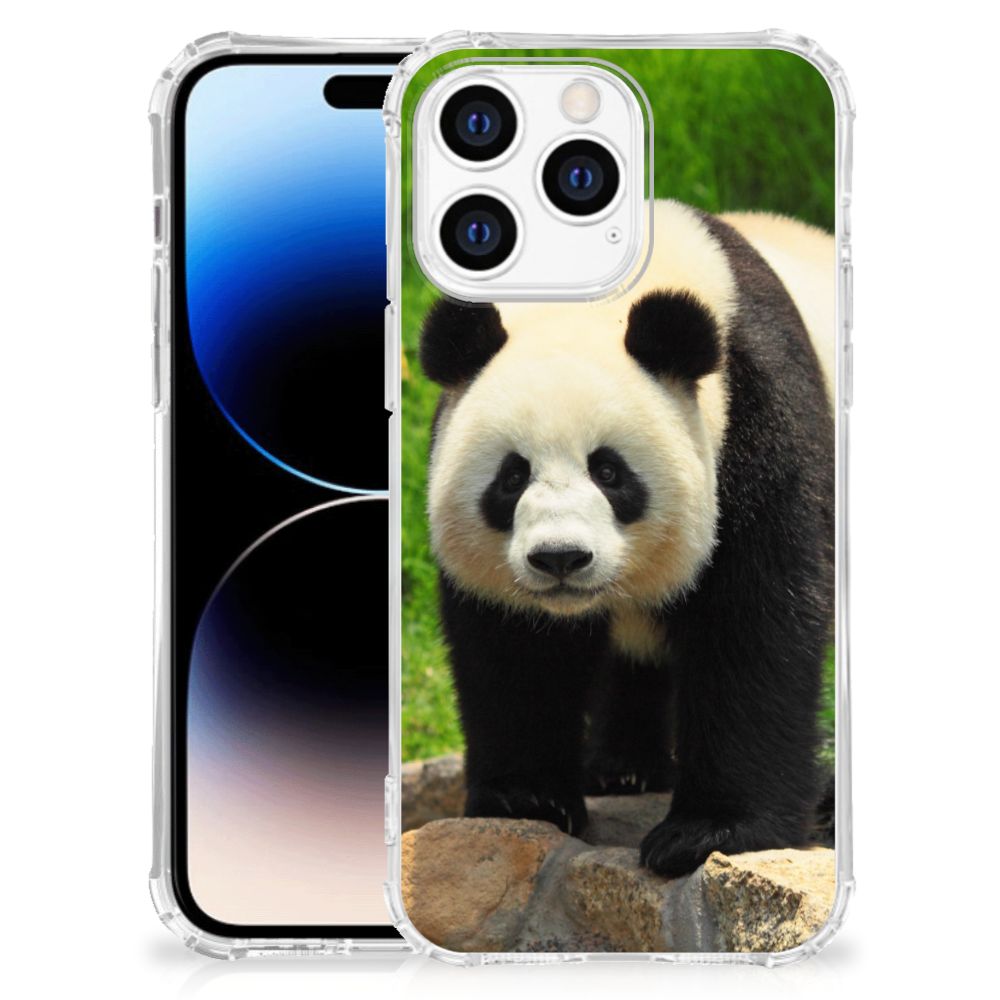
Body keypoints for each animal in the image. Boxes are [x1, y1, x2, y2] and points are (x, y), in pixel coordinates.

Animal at [417, 199, 835, 878]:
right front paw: (526, 798)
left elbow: (756, 623)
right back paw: (622, 769)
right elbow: (514, 648)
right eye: (512, 476)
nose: (560, 558)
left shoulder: (758, 421)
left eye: (609, 472)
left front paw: (708, 832)